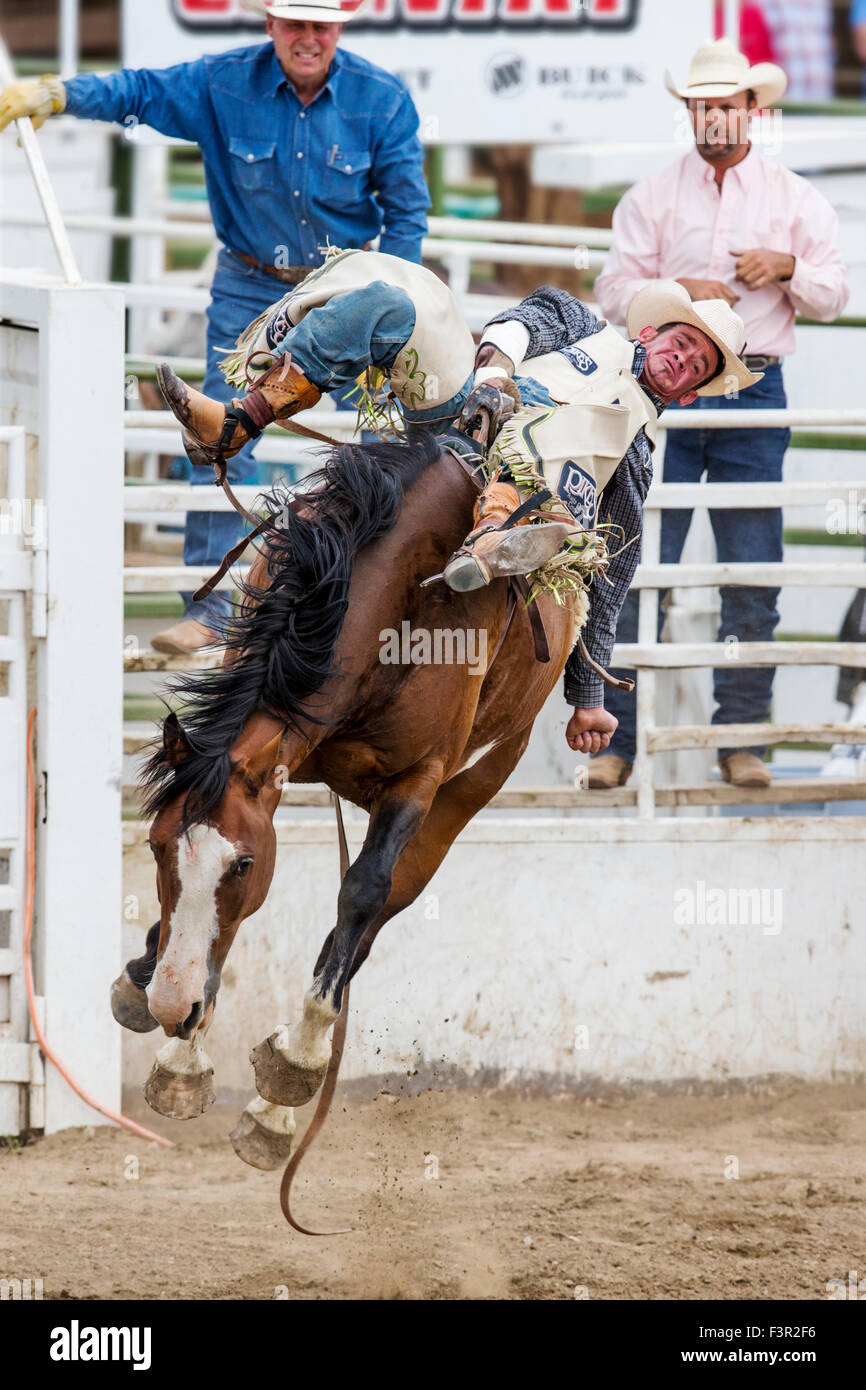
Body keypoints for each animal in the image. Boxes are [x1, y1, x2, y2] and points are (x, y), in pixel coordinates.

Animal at [110, 427, 580, 1194]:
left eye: (242, 863)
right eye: (154, 846)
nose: (174, 1007)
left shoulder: (419, 782)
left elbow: (359, 894)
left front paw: (274, 1058)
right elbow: (203, 928)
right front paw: (166, 1021)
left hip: (471, 787)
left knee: (372, 912)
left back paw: (280, 1100)